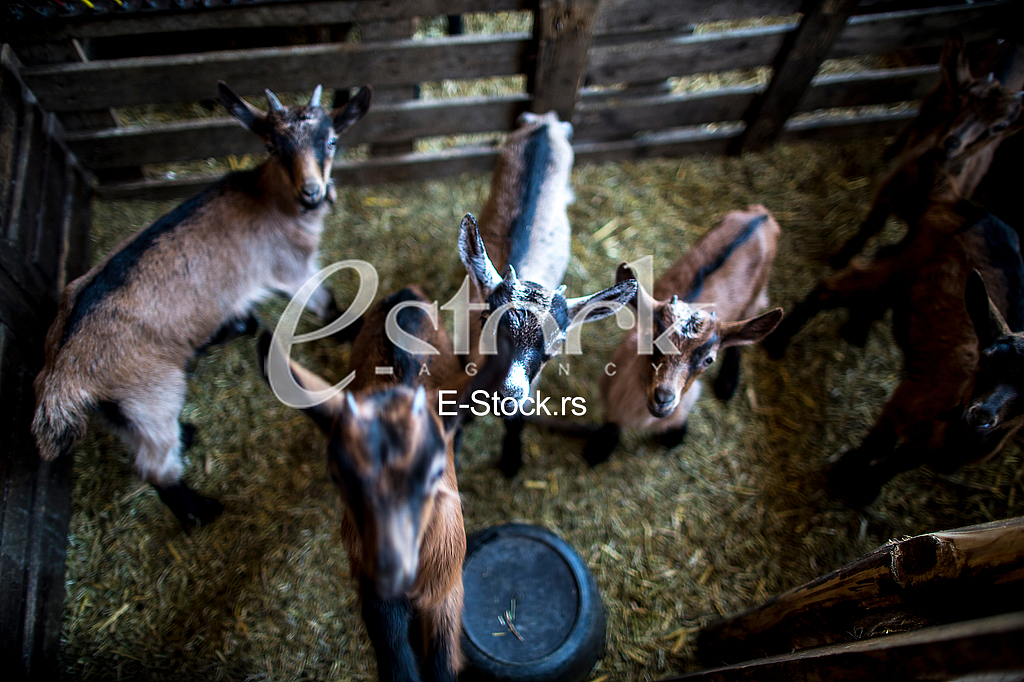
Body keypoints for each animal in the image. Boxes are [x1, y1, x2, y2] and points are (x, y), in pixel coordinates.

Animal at [31, 82, 372, 530]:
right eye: (271, 146)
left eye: (331, 140)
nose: (312, 192)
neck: (269, 198)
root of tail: (62, 372)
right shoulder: (292, 269)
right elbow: (326, 304)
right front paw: (353, 329)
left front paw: (240, 325)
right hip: (150, 393)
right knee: (153, 467)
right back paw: (199, 509)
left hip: (122, 406)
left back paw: (188, 435)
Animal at [259, 286, 509, 682]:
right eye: (337, 475)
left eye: (435, 471)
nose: (390, 569)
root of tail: (406, 292)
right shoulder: (371, 590)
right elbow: (395, 657)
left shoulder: (447, 588)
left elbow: (441, 660)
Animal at [585, 206, 783, 465]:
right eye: (650, 341)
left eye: (708, 360)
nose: (663, 398)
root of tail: (761, 215)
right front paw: (600, 447)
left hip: (756, 295)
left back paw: (727, 383)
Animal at [828, 35, 1024, 271]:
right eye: (961, 99)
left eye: (999, 126)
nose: (952, 142)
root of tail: (1014, 45)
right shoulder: (888, 192)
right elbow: (870, 227)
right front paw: (840, 258)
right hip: (932, 98)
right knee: (914, 121)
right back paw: (890, 152)